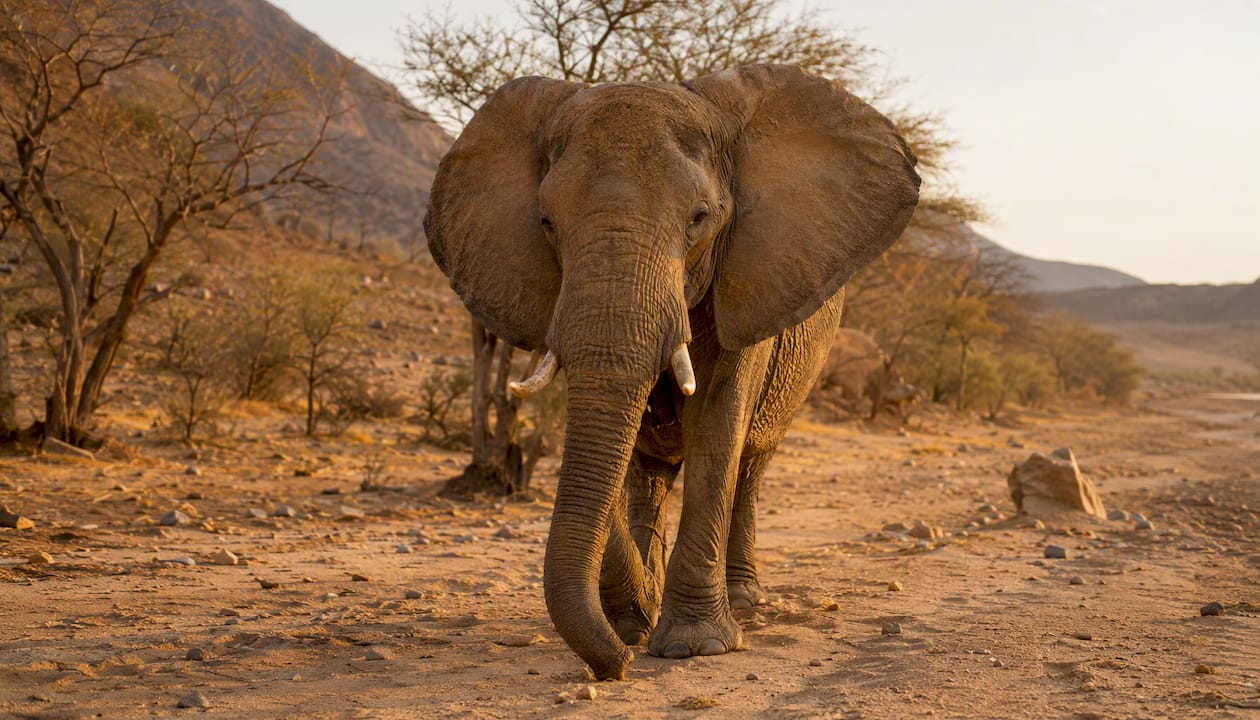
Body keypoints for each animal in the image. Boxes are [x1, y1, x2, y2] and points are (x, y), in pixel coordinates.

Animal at [424, 63, 920, 680]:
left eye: (699, 219)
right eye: (546, 222)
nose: (616, 667)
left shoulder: (744, 282)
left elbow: (716, 425)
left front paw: (694, 645)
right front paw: (633, 622)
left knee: (750, 465)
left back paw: (743, 602)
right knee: (648, 472)